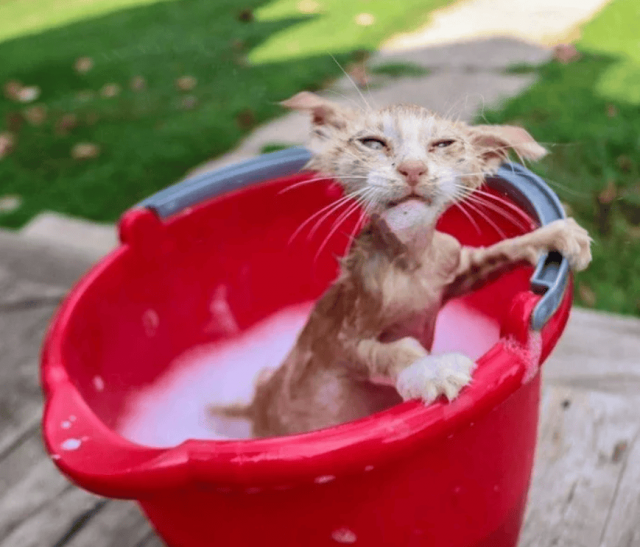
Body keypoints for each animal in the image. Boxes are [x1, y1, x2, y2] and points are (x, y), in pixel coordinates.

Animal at [212, 92, 592, 438]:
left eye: (443, 144)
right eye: (372, 142)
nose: (413, 169)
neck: (410, 267)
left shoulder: (453, 266)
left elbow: (498, 250)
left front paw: (555, 235)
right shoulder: (344, 341)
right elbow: (393, 351)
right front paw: (430, 367)